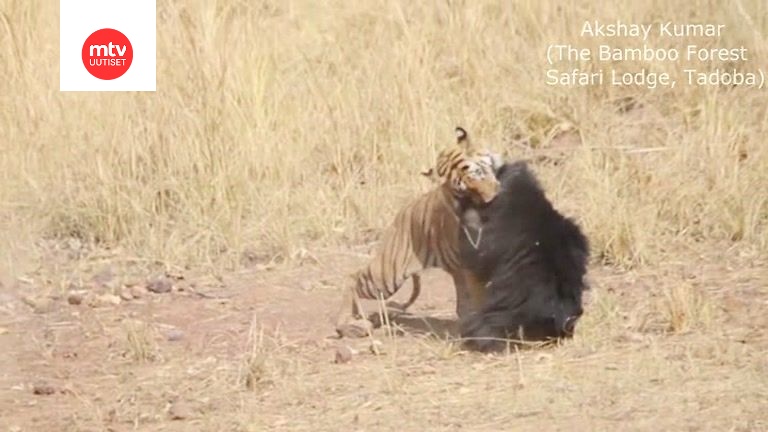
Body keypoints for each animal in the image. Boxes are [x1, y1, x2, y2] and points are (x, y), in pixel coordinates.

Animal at [334, 126, 504, 340]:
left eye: (480, 173)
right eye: (465, 191)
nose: (491, 199)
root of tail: (402, 213)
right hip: (387, 276)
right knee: (353, 277)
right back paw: (348, 326)